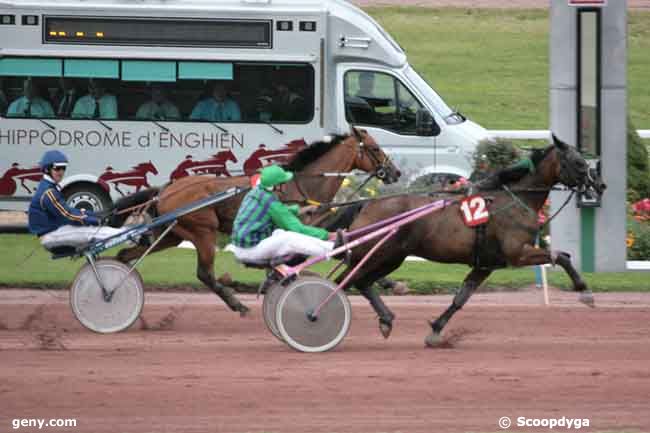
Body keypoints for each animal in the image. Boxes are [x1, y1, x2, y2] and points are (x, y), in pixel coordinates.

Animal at [111, 127, 400, 314]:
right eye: (375, 148)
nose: (395, 172)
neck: (302, 182)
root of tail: (166, 189)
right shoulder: (301, 225)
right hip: (203, 230)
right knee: (204, 273)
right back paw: (235, 301)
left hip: (173, 234)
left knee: (125, 255)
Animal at [336, 133, 604, 346]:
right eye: (579, 162)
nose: (601, 185)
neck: (516, 200)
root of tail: (366, 204)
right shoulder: (517, 254)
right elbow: (562, 256)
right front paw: (585, 292)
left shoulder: (486, 264)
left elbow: (461, 298)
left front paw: (436, 331)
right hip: (380, 254)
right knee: (348, 281)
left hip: (389, 257)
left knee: (360, 282)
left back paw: (386, 319)